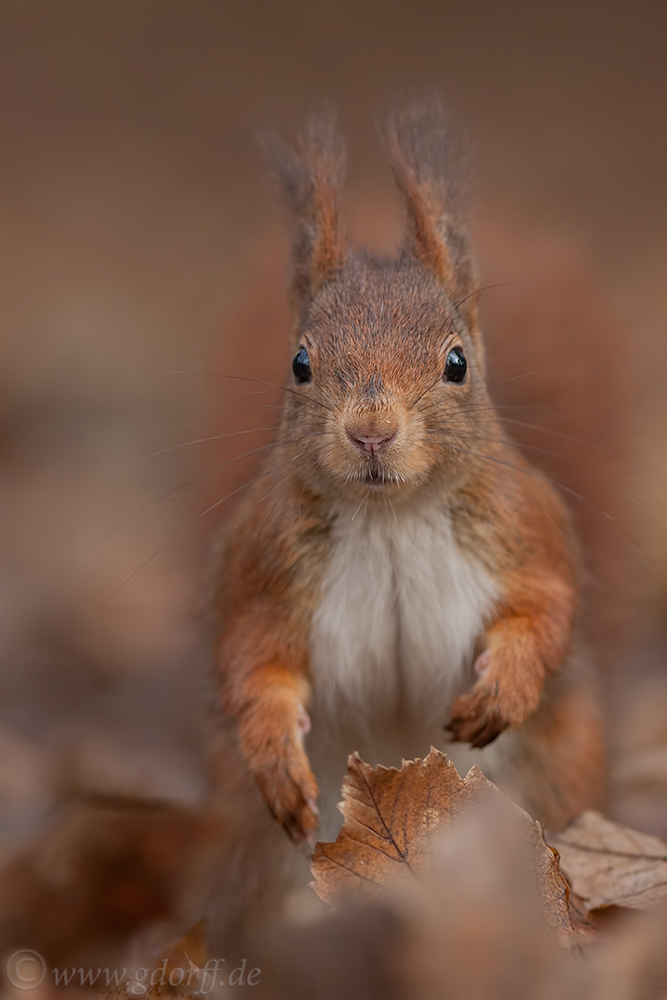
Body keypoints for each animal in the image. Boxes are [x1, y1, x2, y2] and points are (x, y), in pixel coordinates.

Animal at [214, 99, 604, 844]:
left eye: (457, 363)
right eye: (299, 363)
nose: (371, 432)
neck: (389, 516)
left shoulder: (523, 529)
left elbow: (546, 611)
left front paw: (501, 690)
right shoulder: (264, 566)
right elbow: (253, 663)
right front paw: (276, 761)